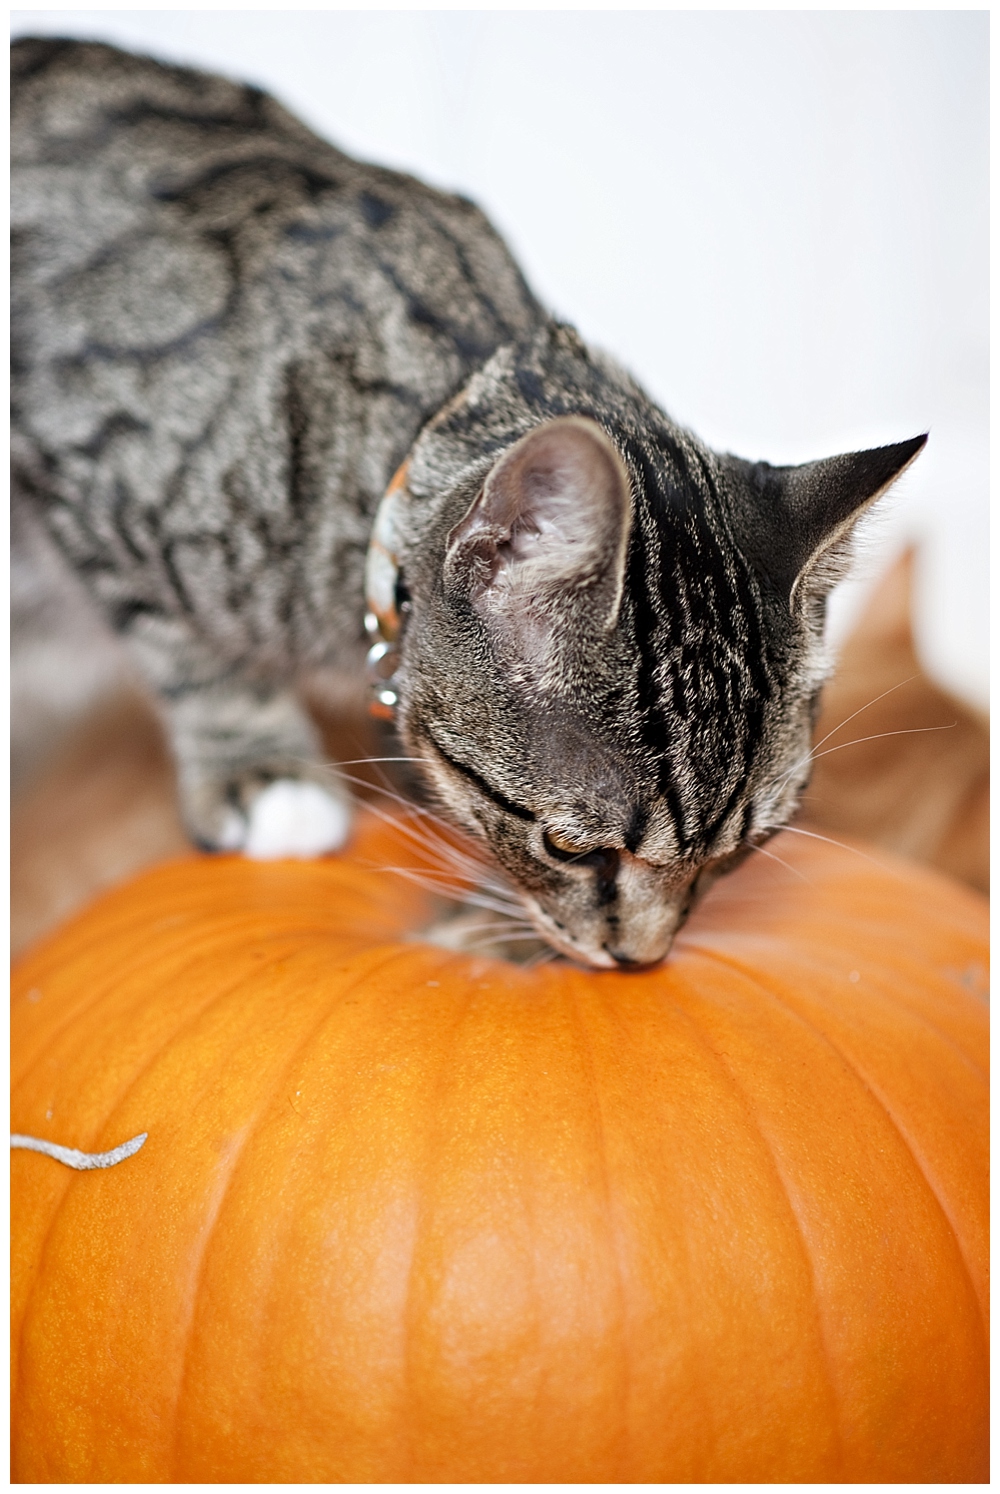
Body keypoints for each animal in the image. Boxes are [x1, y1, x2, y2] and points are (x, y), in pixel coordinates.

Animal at [9, 37, 926, 968]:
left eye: (743, 849)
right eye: (568, 845)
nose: (638, 960)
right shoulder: (73, 472)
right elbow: (193, 656)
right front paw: (264, 776)